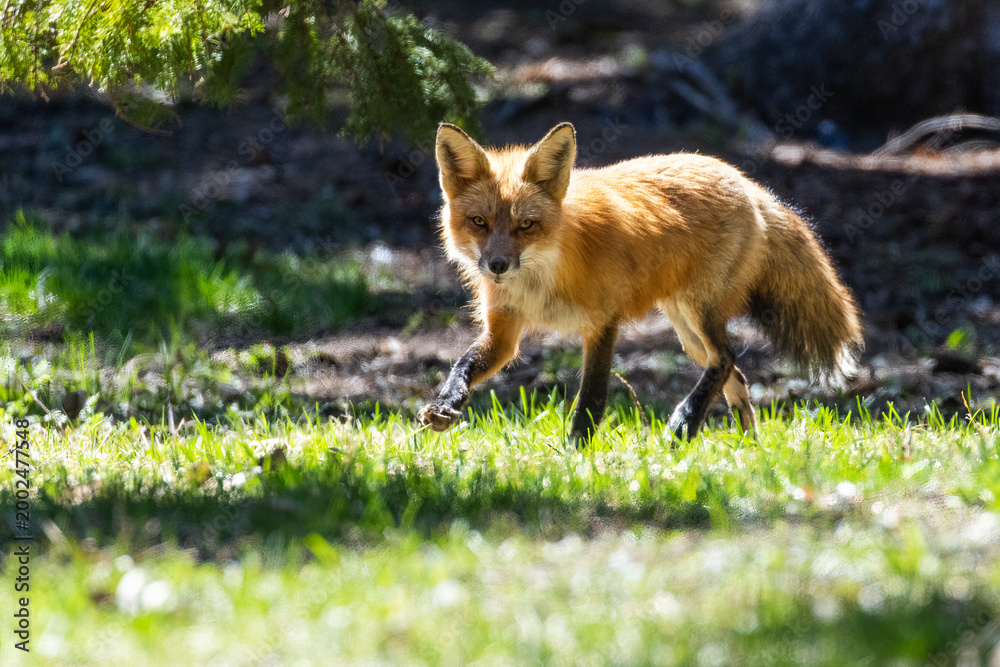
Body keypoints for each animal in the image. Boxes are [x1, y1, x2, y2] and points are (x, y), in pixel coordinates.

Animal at [417, 121, 863, 444]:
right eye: (479, 222)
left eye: (526, 225)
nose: (497, 266)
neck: (540, 281)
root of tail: (743, 180)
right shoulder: (505, 330)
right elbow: (463, 364)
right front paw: (445, 404)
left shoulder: (603, 323)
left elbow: (591, 399)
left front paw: (577, 455)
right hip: (687, 332)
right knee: (735, 374)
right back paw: (748, 447)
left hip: (699, 313)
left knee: (727, 358)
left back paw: (686, 422)